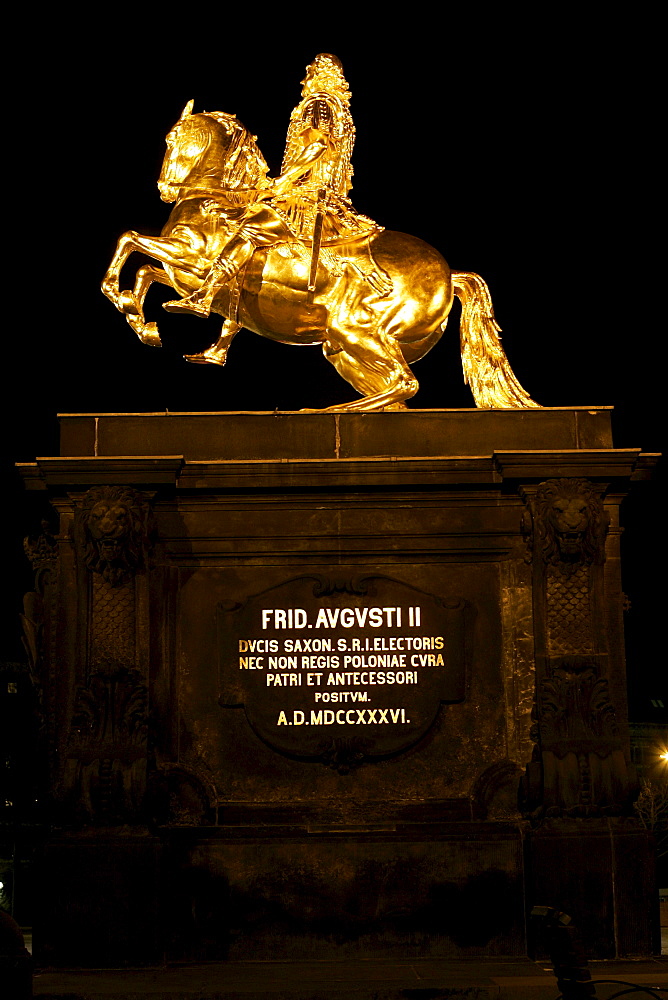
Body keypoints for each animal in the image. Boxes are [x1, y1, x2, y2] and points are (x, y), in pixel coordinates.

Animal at [100, 104, 536, 410]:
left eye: (174, 137)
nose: (165, 188)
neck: (215, 200)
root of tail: (449, 275)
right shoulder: (179, 270)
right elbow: (144, 270)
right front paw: (142, 323)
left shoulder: (193, 259)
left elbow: (131, 241)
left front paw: (137, 304)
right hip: (342, 348)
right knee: (395, 391)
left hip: (358, 333)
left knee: (404, 382)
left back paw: (328, 411)